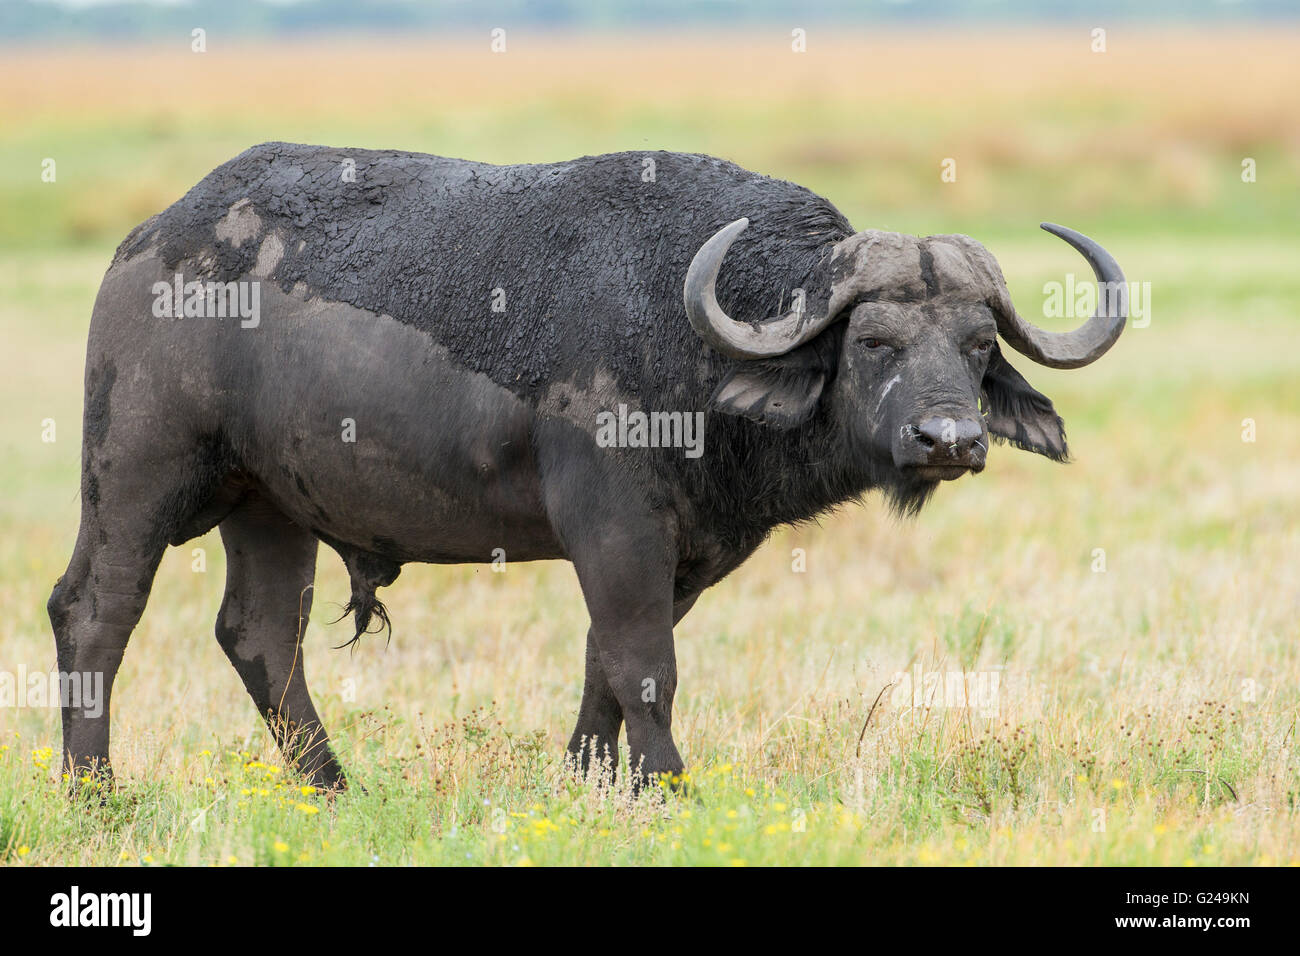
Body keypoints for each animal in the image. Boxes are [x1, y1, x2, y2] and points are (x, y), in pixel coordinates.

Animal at [50, 140, 1128, 785]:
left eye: (977, 345)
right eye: (872, 342)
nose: (948, 440)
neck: (698, 343)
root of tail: (151, 241)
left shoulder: (687, 553)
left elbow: (604, 663)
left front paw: (591, 779)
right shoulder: (614, 529)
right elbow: (647, 665)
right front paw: (669, 785)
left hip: (269, 505)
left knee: (261, 634)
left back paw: (333, 787)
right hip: (134, 472)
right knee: (95, 610)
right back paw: (94, 788)